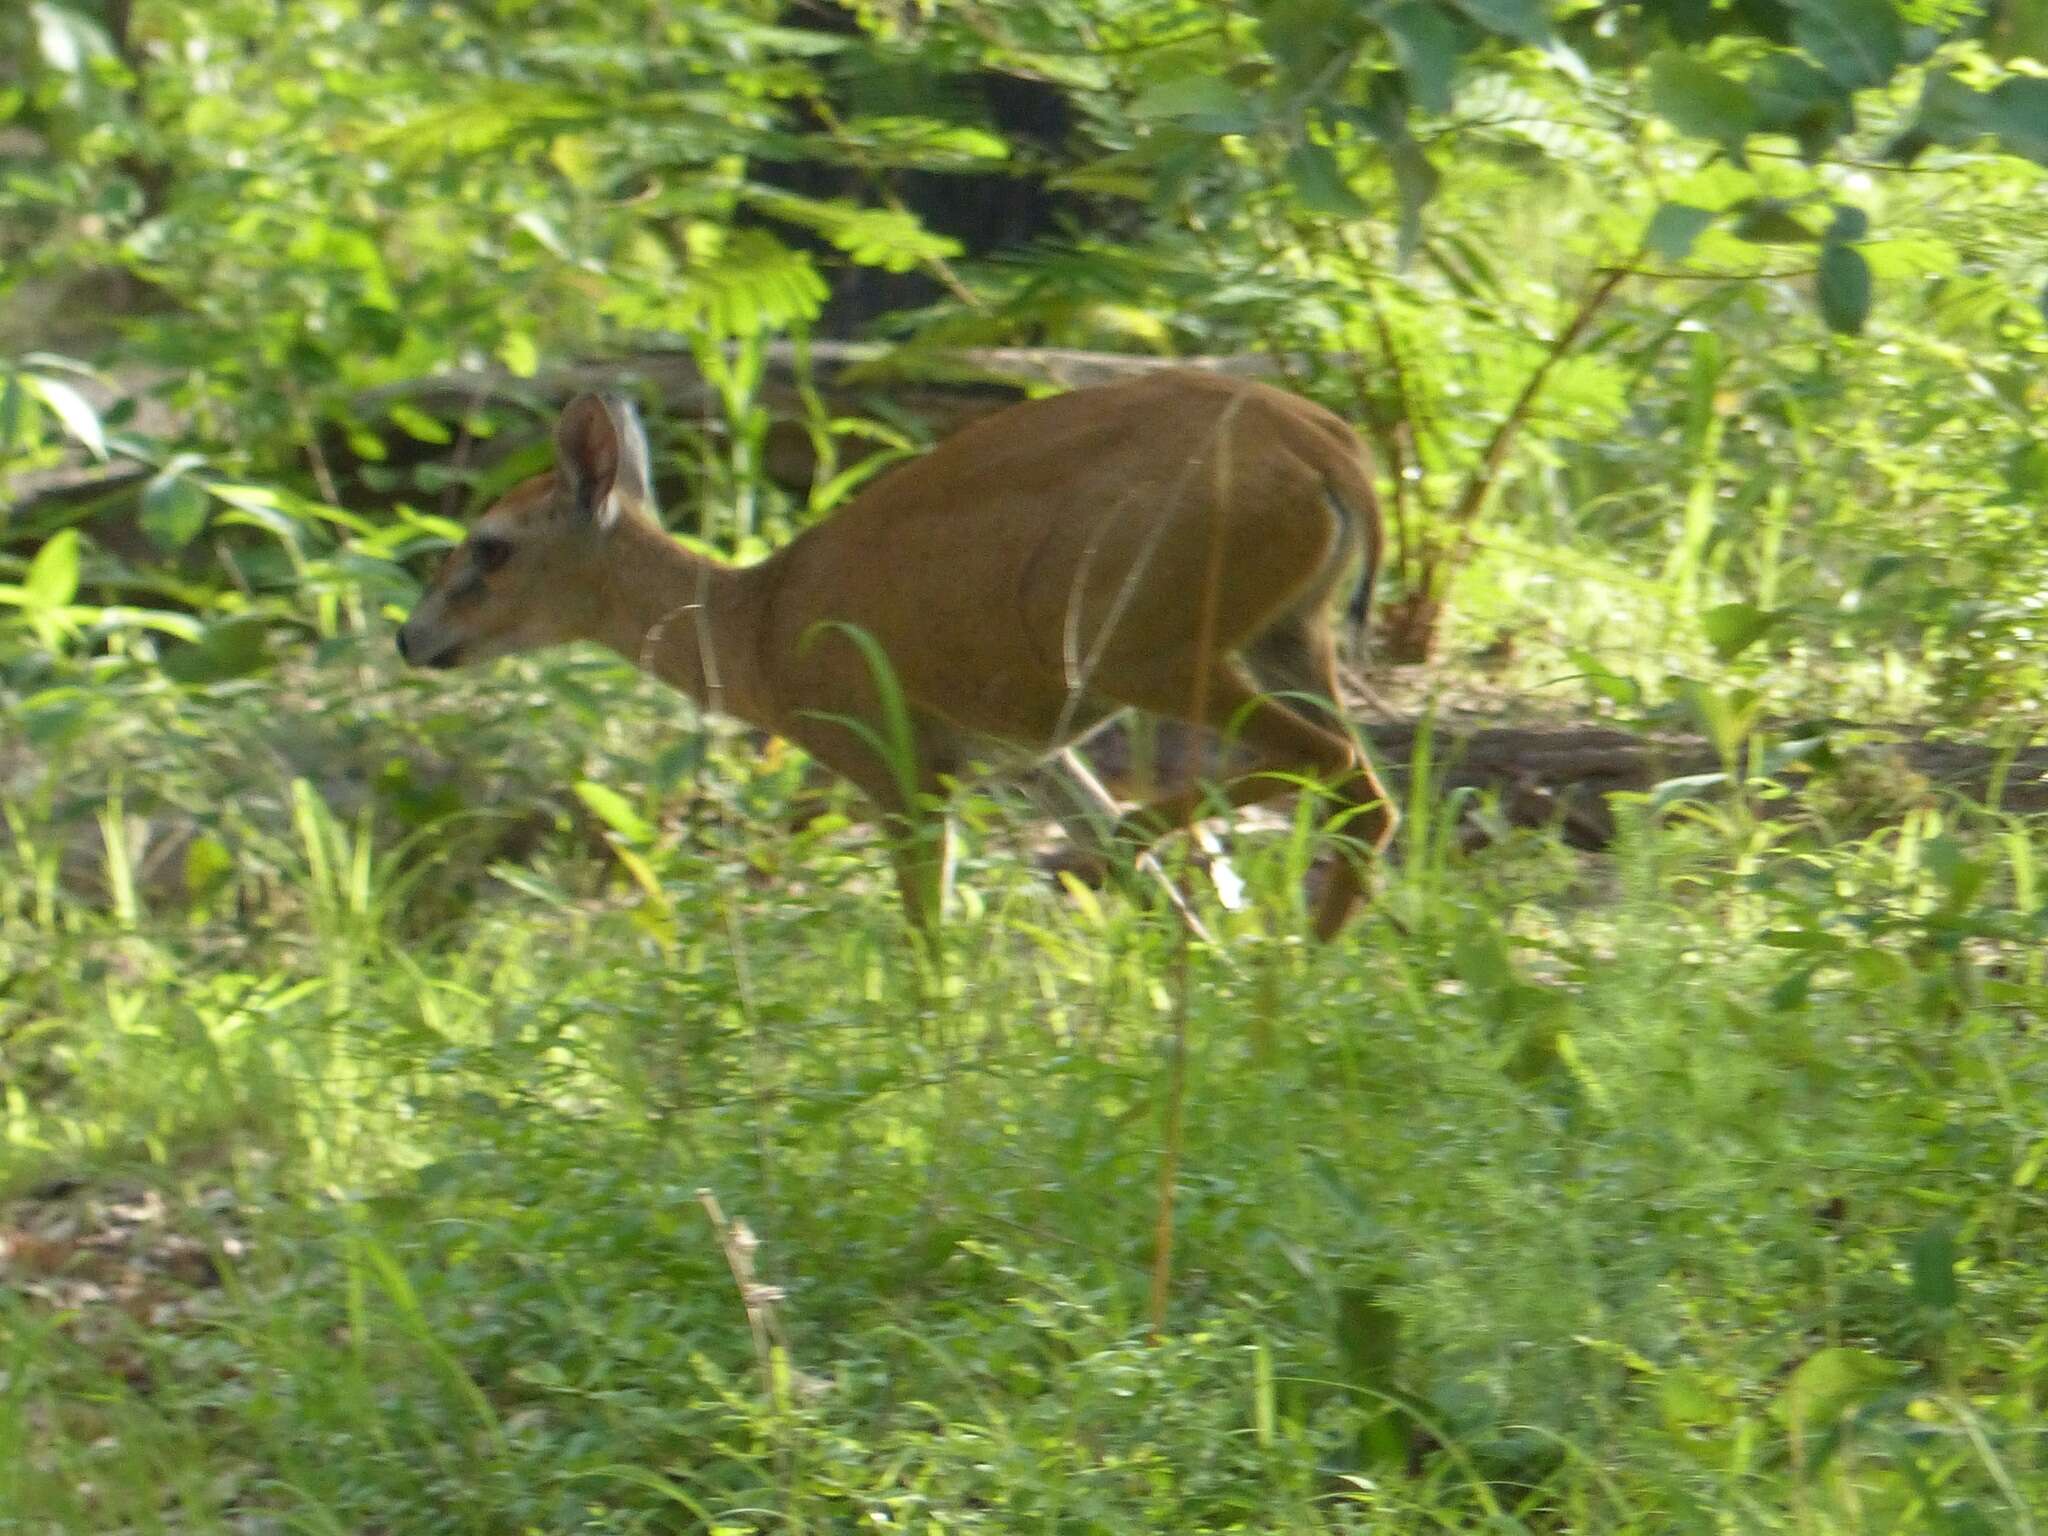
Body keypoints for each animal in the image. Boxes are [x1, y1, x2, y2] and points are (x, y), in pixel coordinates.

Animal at [393, 376, 1400, 950]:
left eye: (489, 546)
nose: (410, 638)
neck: (757, 635)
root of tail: (1333, 454)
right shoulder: (1025, 750)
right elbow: (1160, 912)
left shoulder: (895, 757)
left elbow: (924, 944)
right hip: (1283, 631)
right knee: (1366, 791)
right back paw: (1295, 978)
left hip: (1135, 635)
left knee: (1328, 763)